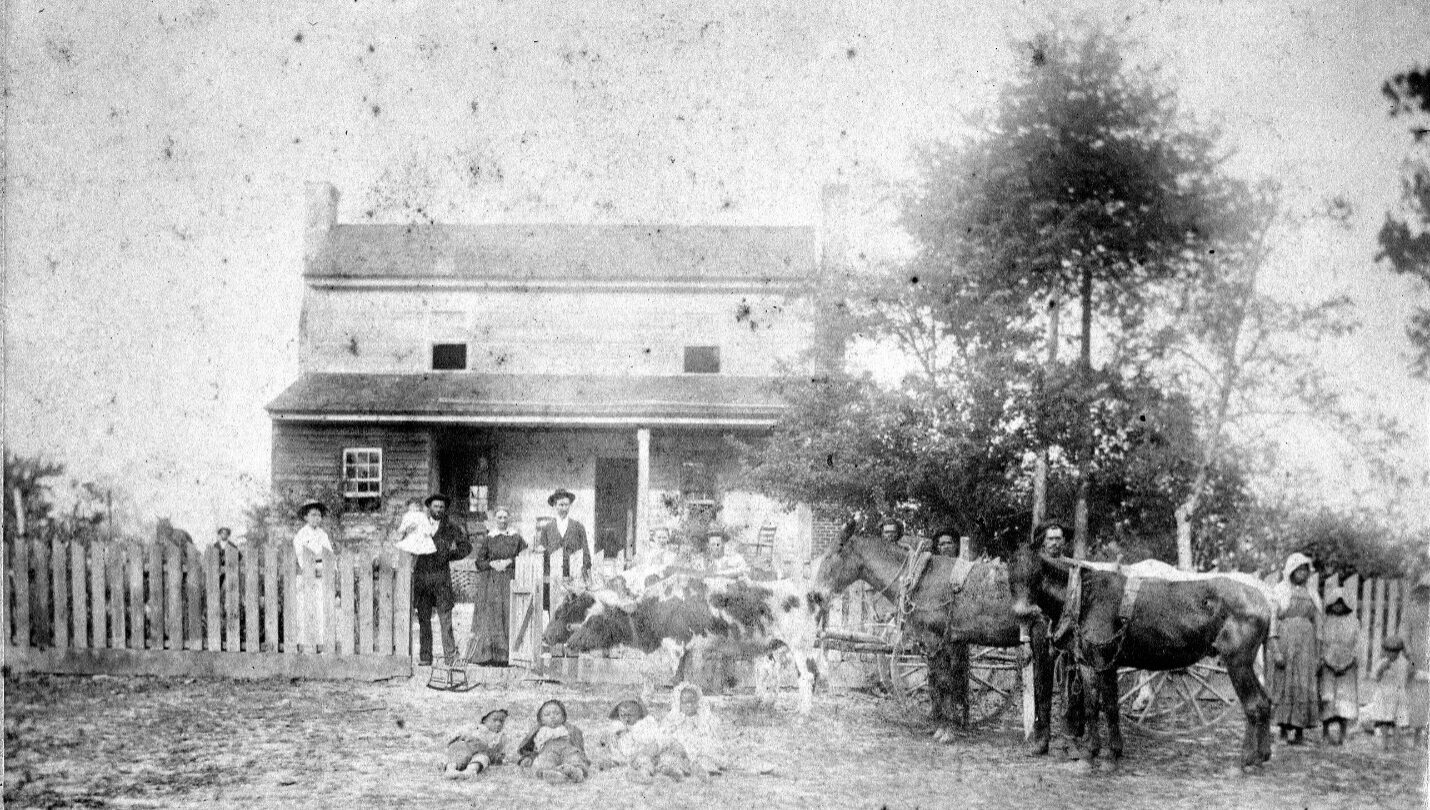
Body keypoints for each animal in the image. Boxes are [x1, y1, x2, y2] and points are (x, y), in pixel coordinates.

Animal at [540, 572, 829, 718]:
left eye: (596, 620)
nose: (571, 642)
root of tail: (811, 591)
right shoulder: (687, 651)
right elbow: (683, 682)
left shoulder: (673, 648)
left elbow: (653, 676)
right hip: (781, 648)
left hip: (800, 647)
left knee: (807, 677)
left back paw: (802, 712)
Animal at [812, 523, 1058, 749]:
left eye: (835, 553)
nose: (815, 595)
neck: (920, 578)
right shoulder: (934, 644)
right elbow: (937, 682)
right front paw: (941, 726)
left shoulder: (939, 640)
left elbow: (945, 682)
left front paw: (946, 731)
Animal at [1006, 546, 1275, 772]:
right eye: (1010, 575)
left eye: (1034, 573)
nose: (1021, 612)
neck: (1083, 597)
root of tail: (1265, 601)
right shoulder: (1102, 664)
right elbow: (1105, 707)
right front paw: (1107, 753)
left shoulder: (1096, 663)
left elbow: (1098, 707)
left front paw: (1096, 755)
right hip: (1248, 662)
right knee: (1264, 702)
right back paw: (1262, 756)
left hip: (1237, 661)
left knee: (1254, 705)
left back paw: (1245, 760)